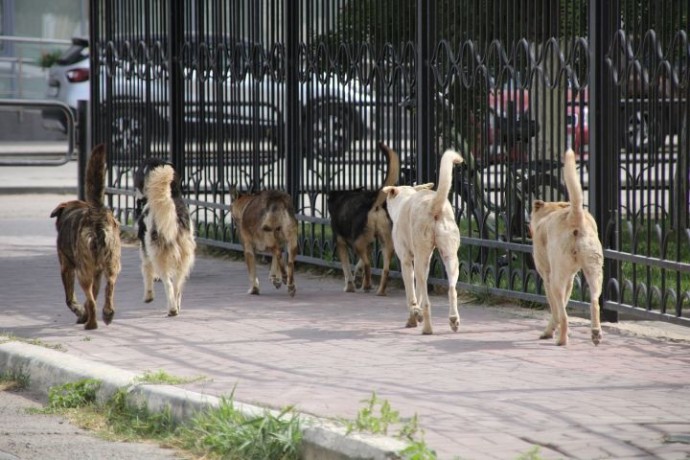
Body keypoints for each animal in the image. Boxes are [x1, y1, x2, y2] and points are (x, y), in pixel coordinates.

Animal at [49, 146, 121, 328]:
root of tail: (96, 212)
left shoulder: (66, 266)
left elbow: (70, 298)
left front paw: (81, 313)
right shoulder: (97, 273)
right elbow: (94, 295)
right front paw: (84, 314)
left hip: (83, 271)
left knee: (90, 298)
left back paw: (92, 324)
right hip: (111, 264)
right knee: (109, 286)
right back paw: (107, 313)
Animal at [382, 150, 462, 334]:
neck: (405, 200)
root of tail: (434, 205)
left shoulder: (406, 260)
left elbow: (411, 294)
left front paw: (414, 316)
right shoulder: (424, 265)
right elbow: (419, 288)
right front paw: (414, 316)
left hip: (420, 258)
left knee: (426, 302)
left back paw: (426, 327)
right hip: (450, 258)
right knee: (452, 289)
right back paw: (453, 320)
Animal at [528, 149, 600, 346]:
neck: (552, 212)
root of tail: (574, 216)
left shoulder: (547, 278)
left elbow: (556, 310)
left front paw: (550, 331)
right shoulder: (570, 279)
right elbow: (562, 306)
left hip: (555, 280)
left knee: (565, 316)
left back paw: (562, 340)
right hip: (594, 271)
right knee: (595, 301)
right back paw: (596, 333)